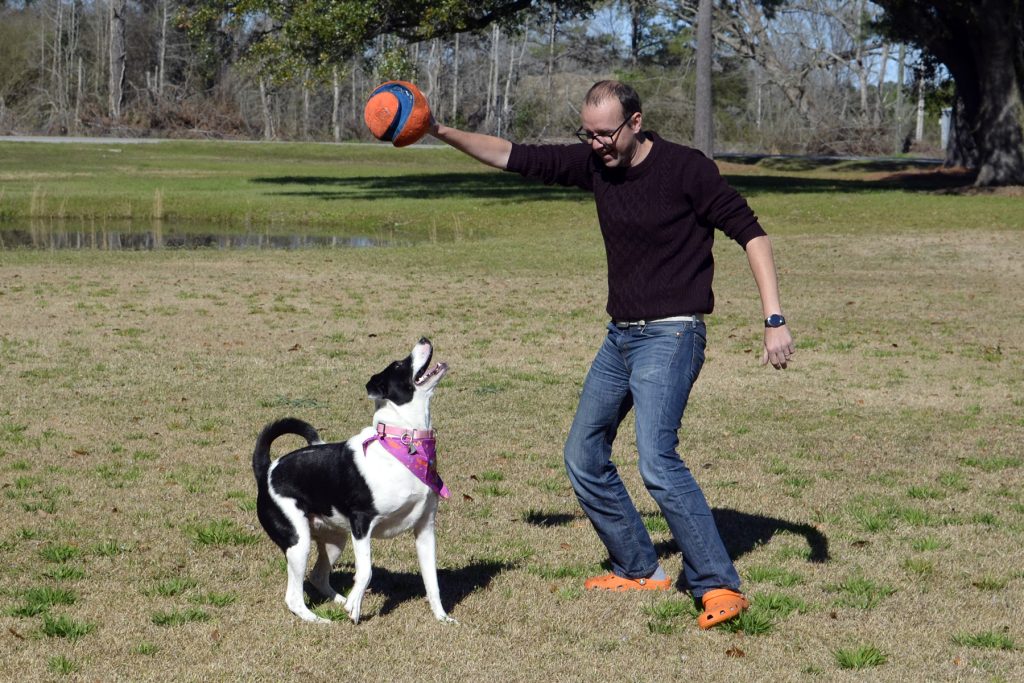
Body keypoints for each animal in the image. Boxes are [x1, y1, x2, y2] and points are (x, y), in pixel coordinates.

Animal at [249, 335, 454, 626]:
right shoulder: (361, 523)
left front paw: (441, 617)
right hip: (299, 542)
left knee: (317, 576)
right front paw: (356, 607)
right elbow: (366, 571)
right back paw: (319, 620)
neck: (404, 445)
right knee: (293, 596)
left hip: (334, 540)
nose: (424, 338)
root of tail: (267, 469)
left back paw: (340, 601)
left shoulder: (425, 528)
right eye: (399, 364)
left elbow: (432, 580)